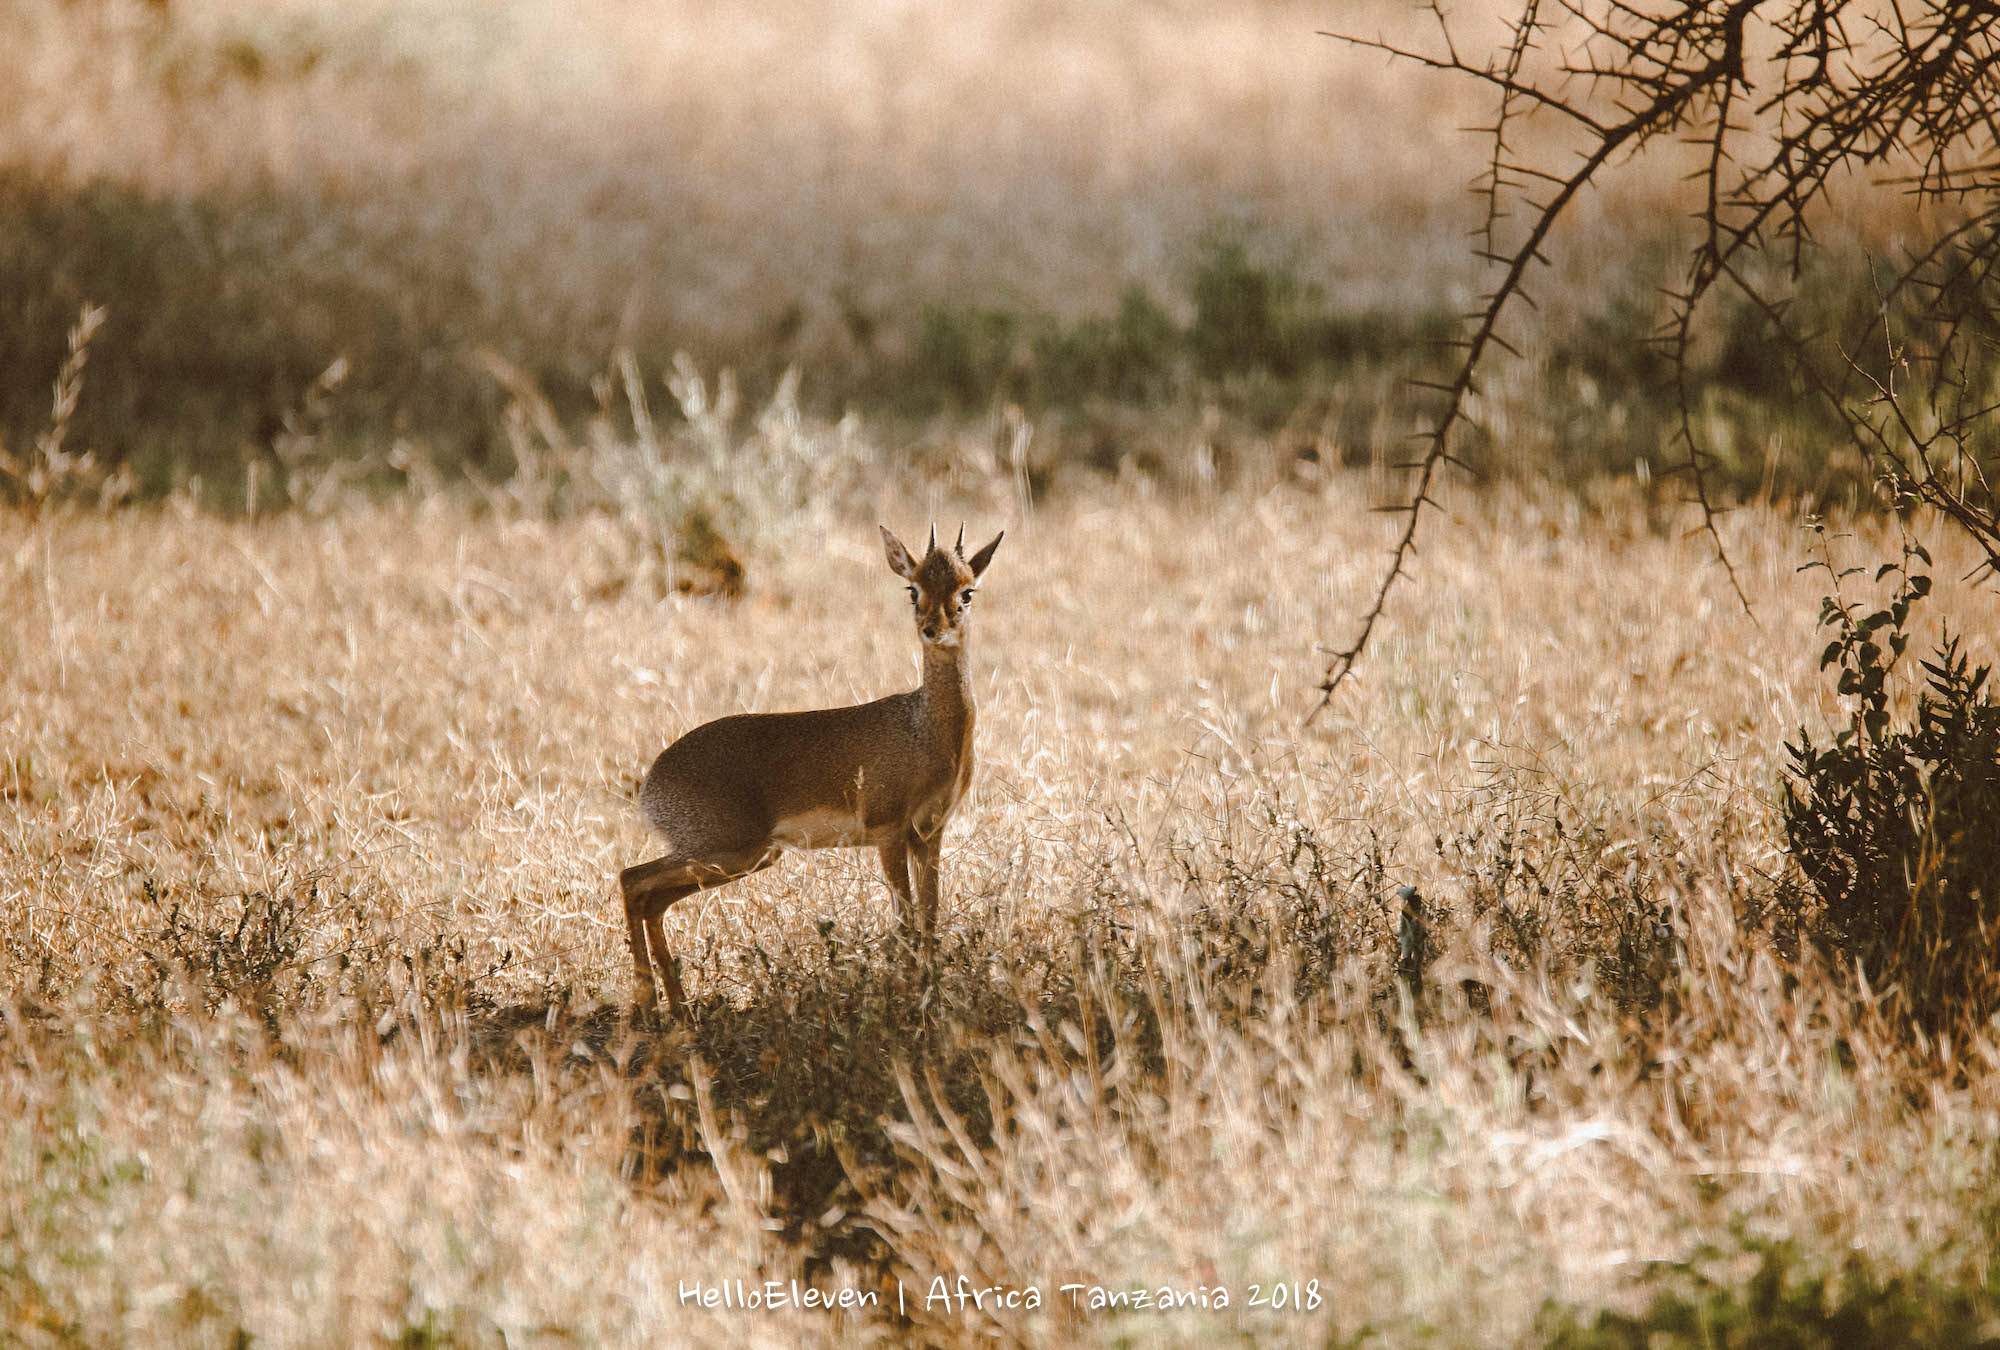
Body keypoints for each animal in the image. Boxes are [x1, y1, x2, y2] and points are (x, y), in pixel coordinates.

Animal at [616, 524, 1000, 1020]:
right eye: (913, 589)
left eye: (966, 591)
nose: (932, 629)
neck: (927, 731)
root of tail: (651, 783)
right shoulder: (889, 832)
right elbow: (904, 924)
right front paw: (907, 999)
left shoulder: (929, 834)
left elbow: (929, 918)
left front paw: (929, 996)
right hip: (728, 852)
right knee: (632, 880)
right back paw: (649, 1005)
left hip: (741, 859)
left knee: (650, 899)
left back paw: (678, 1008)